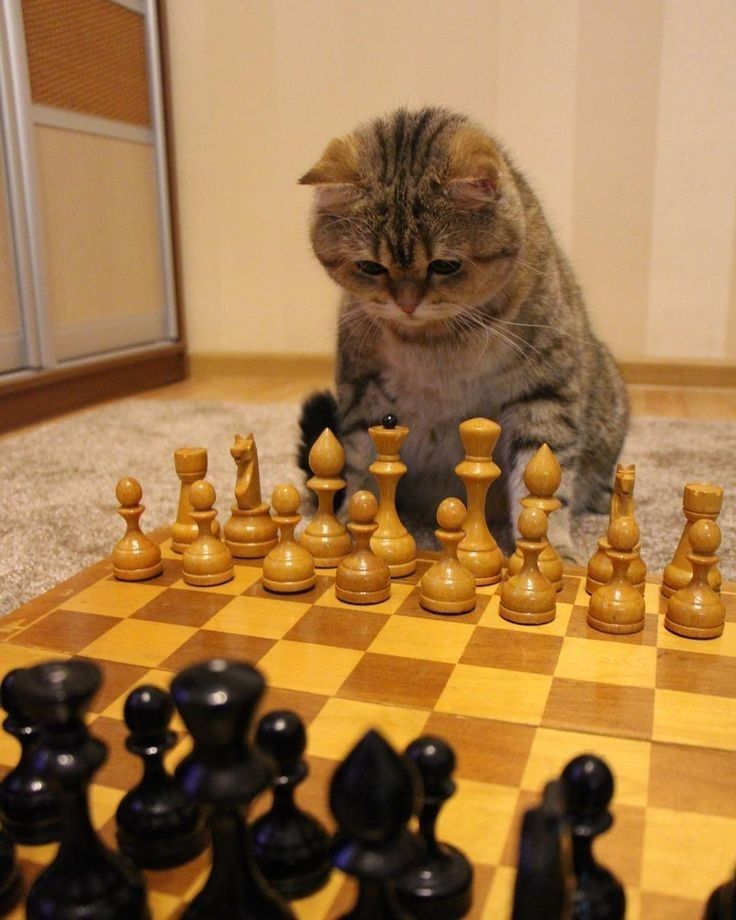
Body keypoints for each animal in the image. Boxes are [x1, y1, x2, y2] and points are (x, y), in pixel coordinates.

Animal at [296, 104, 628, 556]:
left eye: (445, 265)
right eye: (370, 267)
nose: (407, 303)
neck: (435, 341)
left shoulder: (545, 391)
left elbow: (542, 487)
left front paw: (552, 552)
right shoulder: (364, 389)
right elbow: (361, 464)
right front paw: (350, 528)